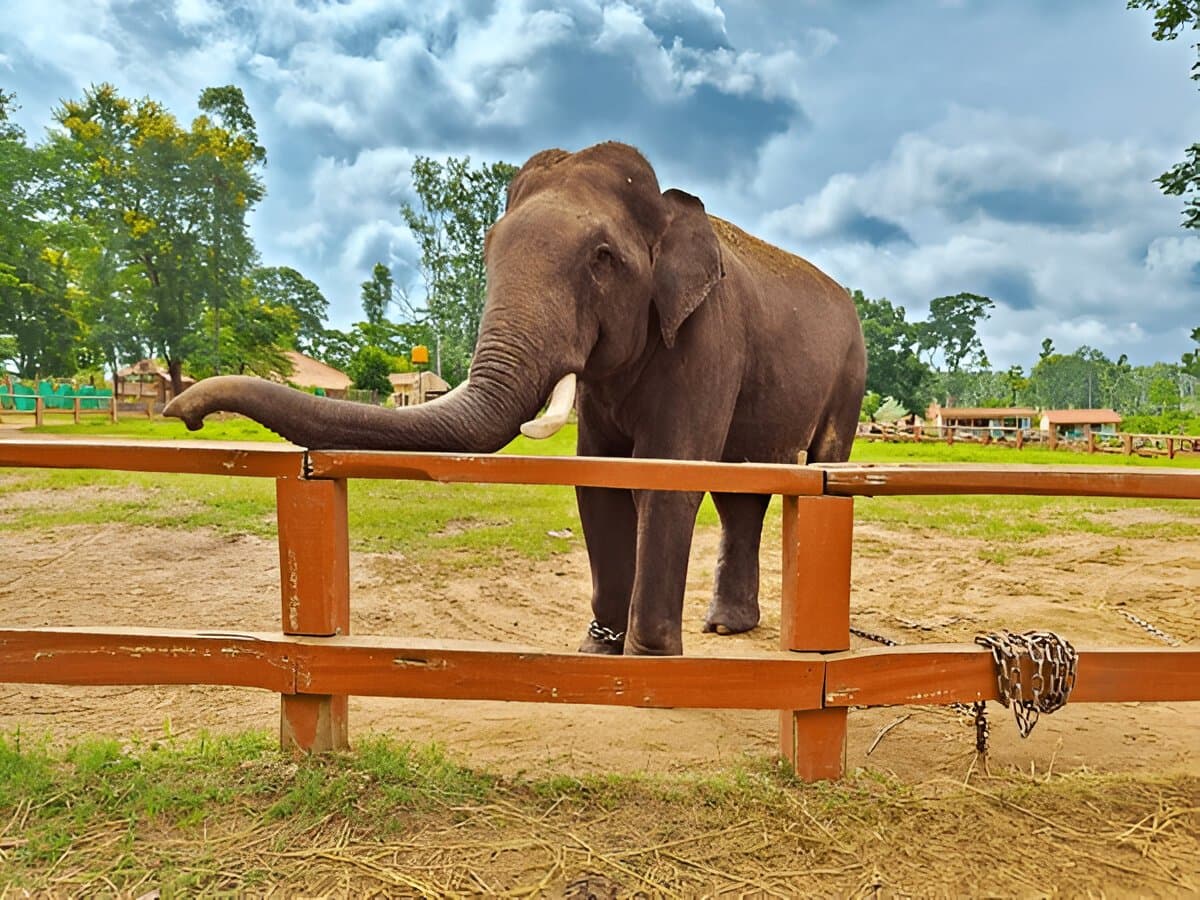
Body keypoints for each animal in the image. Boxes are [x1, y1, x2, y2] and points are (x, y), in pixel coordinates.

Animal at [165, 141, 866, 656]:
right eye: (487, 249)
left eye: (603, 258)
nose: (183, 413)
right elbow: (597, 482)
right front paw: (599, 653)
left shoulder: (707, 337)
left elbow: (667, 477)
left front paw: (651, 660)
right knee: (740, 491)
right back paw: (725, 627)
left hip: (850, 377)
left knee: (805, 468)